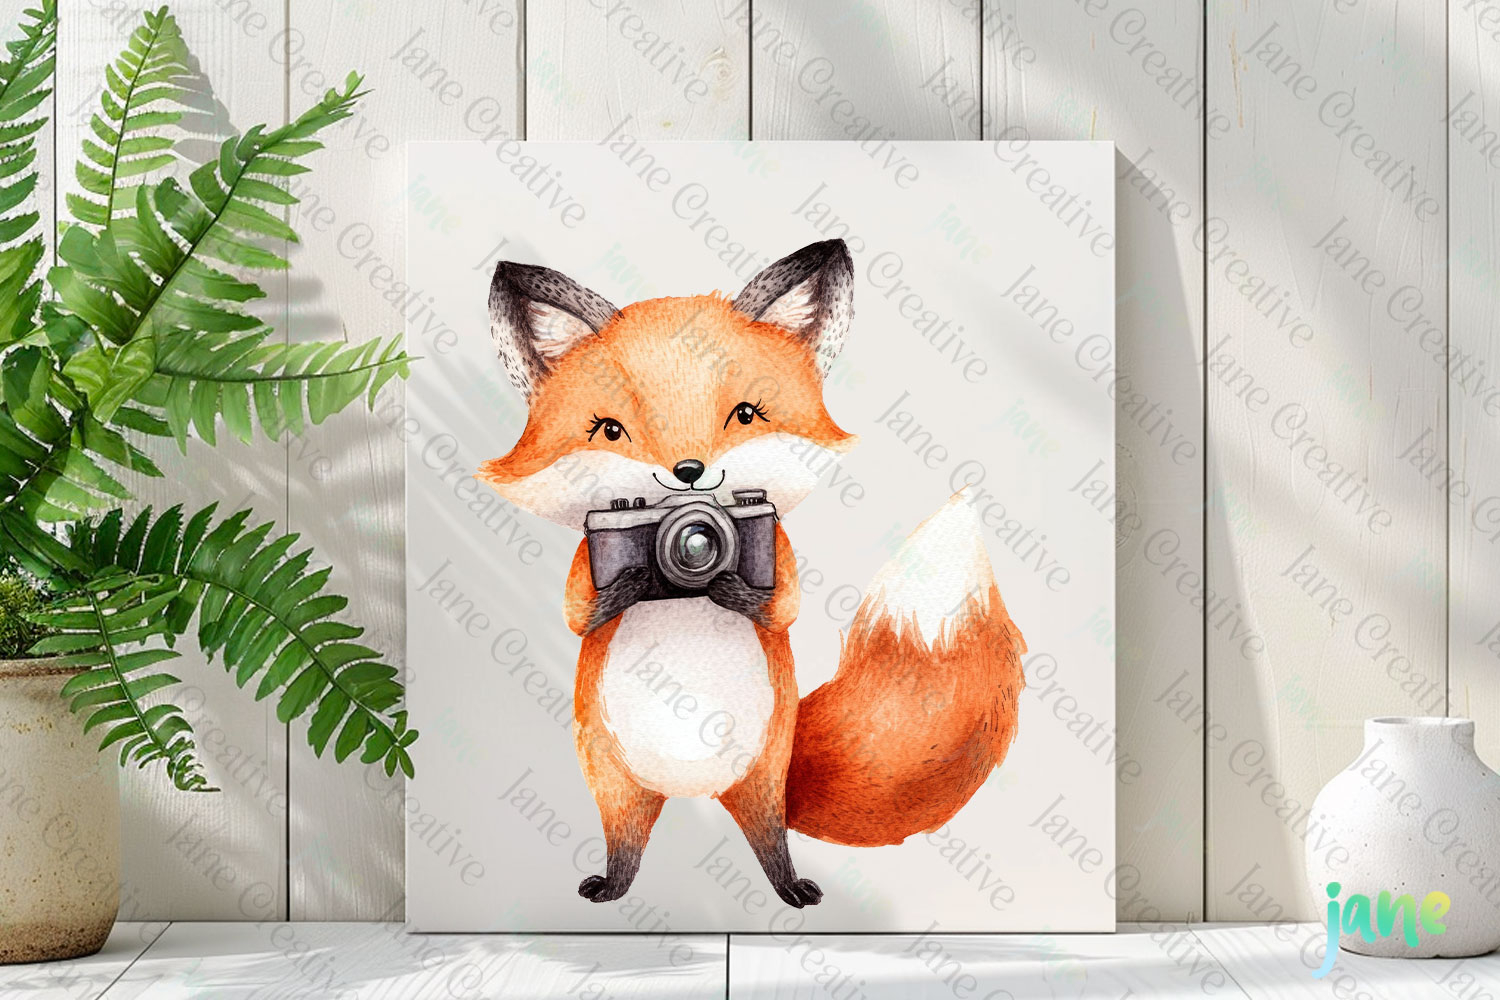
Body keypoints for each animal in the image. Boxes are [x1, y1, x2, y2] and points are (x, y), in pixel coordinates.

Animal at [478, 239, 1026, 909]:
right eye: (611, 430)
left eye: (745, 415)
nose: (688, 471)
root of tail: (693, 792)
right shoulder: (595, 550)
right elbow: (580, 614)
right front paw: (632, 588)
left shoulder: (770, 542)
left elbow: (781, 604)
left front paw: (726, 588)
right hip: (612, 778)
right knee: (625, 844)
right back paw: (614, 885)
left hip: (763, 775)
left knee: (770, 841)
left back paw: (789, 886)